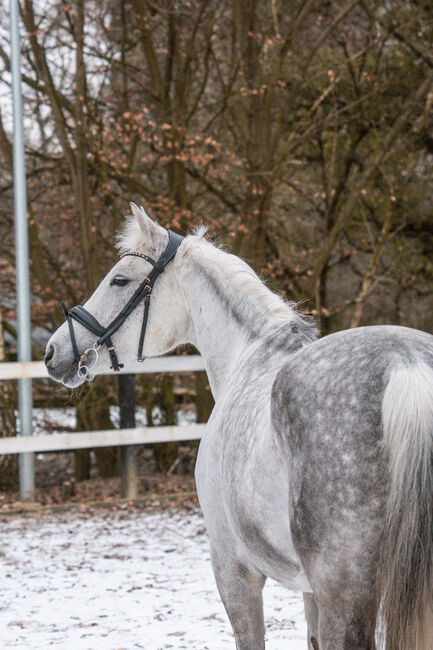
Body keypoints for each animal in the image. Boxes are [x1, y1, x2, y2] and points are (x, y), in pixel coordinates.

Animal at [45, 208, 430, 648]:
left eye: (119, 280)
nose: (53, 351)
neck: (251, 353)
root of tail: (406, 362)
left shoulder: (233, 570)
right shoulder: (309, 591)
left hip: (344, 592)